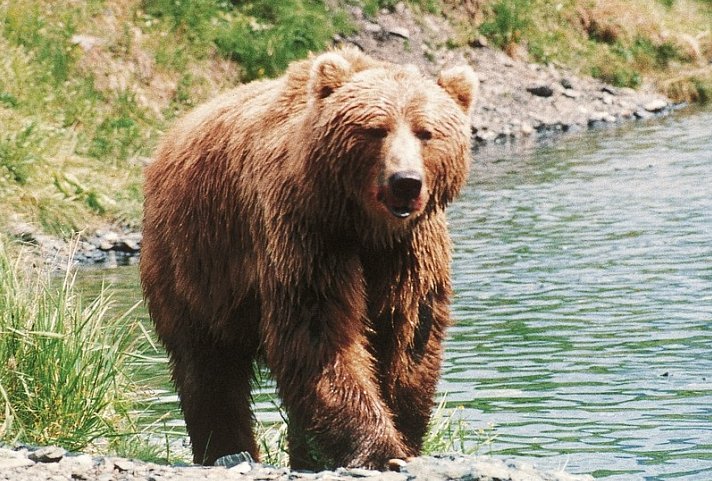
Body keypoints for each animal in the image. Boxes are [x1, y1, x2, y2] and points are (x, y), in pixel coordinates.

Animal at [140, 46, 478, 468]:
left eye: (426, 132)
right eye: (376, 129)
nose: (405, 182)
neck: (365, 227)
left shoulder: (409, 254)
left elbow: (408, 339)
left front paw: (404, 434)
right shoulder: (307, 234)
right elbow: (320, 334)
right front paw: (380, 448)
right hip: (193, 262)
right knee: (207, 367)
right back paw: (227, 449)